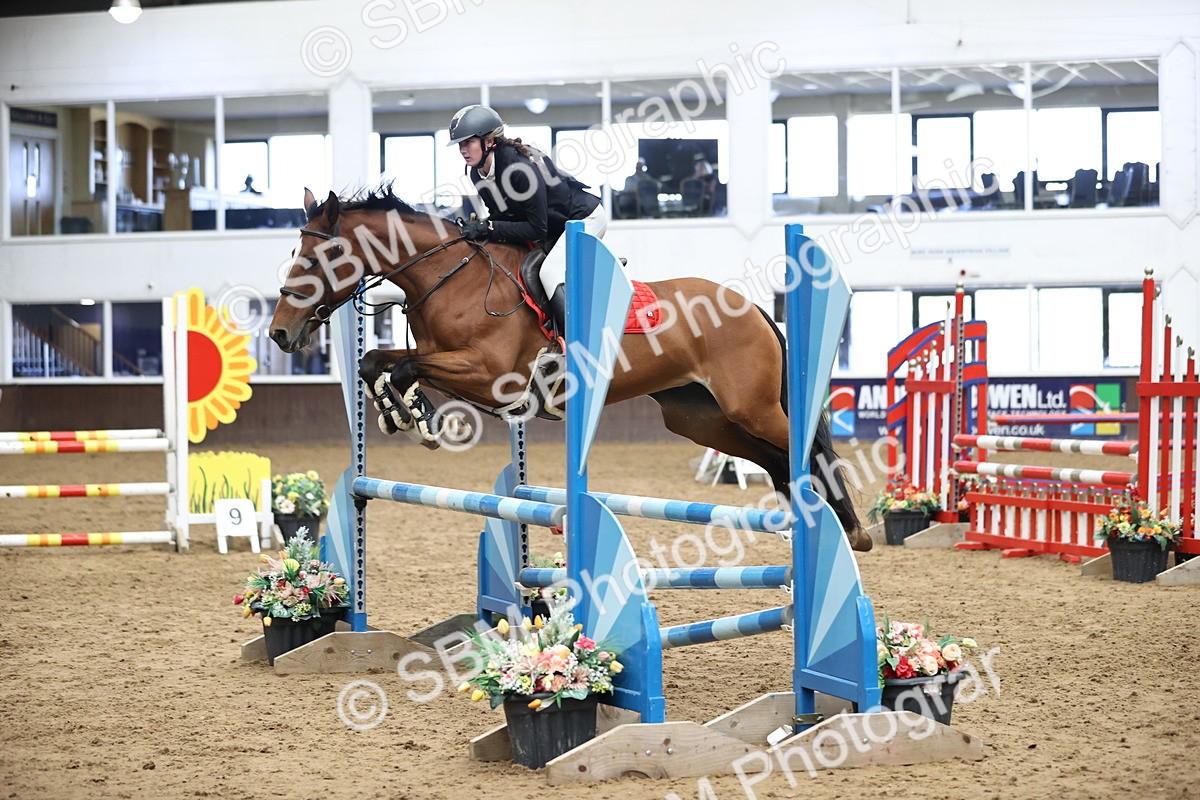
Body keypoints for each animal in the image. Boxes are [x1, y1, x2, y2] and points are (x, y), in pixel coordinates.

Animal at [269, 188, 871, 551]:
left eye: (317, 258)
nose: (280, 333)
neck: (449, 277)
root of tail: (754, 307)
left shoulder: (490, 374)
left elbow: (401, 366)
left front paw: (413, 415)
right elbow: (377, 361)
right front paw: (406, 412)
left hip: (750, 406)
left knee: (808, 451)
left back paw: (851, 530)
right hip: (702, 418)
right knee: (776, 459)